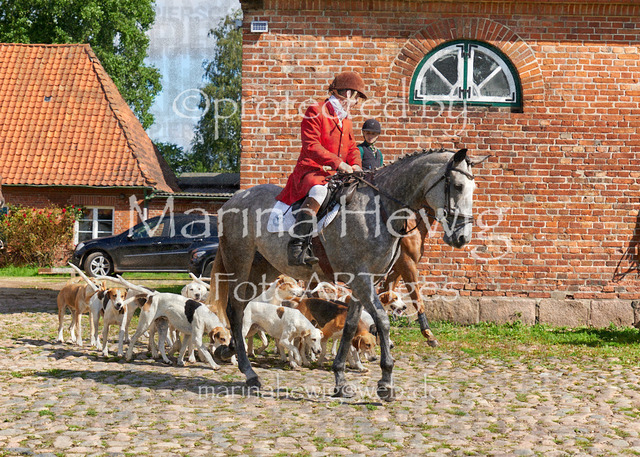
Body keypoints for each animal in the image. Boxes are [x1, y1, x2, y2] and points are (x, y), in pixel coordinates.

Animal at [210, 148, 487, 401]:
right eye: (458, 186)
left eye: (474, 189)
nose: (463, 238)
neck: (381, 210)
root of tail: (234, 199)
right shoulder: (362, 279)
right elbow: (383, 320)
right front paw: (386, 382)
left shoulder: (364, 282)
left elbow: (351, 326)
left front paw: (340, 379)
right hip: (240, 263)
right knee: (234, 309)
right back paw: (249, 373)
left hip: (264, 270)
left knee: (241, 308)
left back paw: (231, 353)